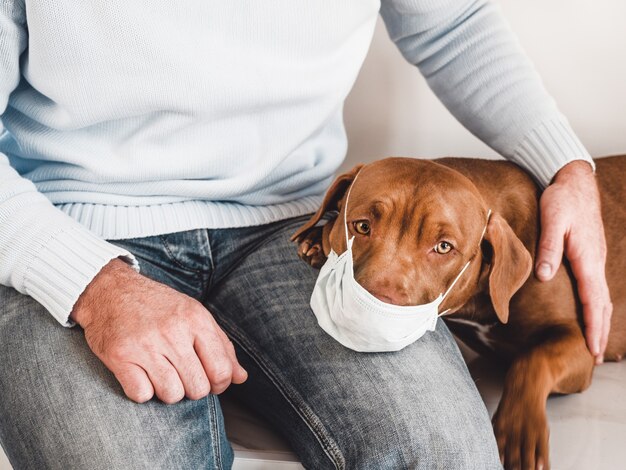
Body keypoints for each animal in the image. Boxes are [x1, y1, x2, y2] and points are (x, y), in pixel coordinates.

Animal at [292, 157, 624, 470]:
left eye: (443, 247)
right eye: (362, 226)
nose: (377, 305)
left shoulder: (583, 343)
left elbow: (532, 360)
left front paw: (519, 430)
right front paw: (317, 238)